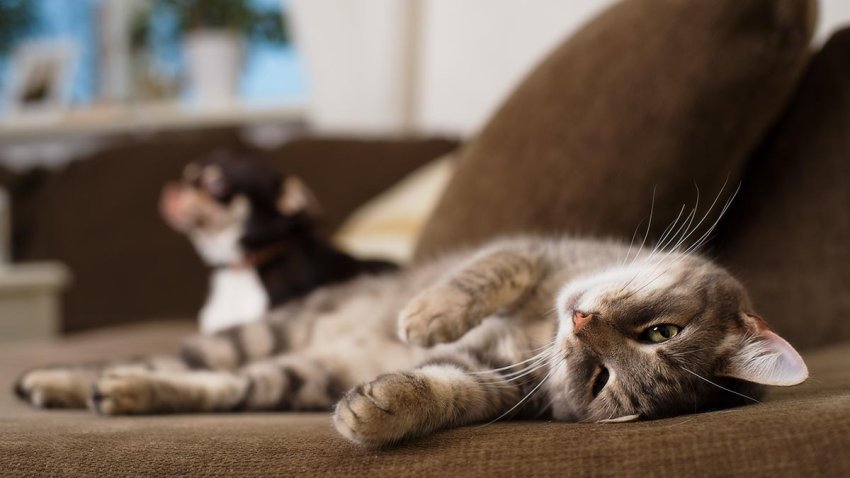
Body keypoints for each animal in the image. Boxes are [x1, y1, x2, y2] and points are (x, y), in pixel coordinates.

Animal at [16, 234, 804, 444]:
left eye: (601, 381)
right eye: (660, 330)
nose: (581, 327)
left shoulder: (497, 377)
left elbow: (443, 389)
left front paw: (380, 408)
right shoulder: (535, 254)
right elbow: (484, 275)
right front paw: (424, 314)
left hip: (287, 377)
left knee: (207, 382)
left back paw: (116, 392)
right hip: (266, 330)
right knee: (162, 357)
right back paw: (52, 381)